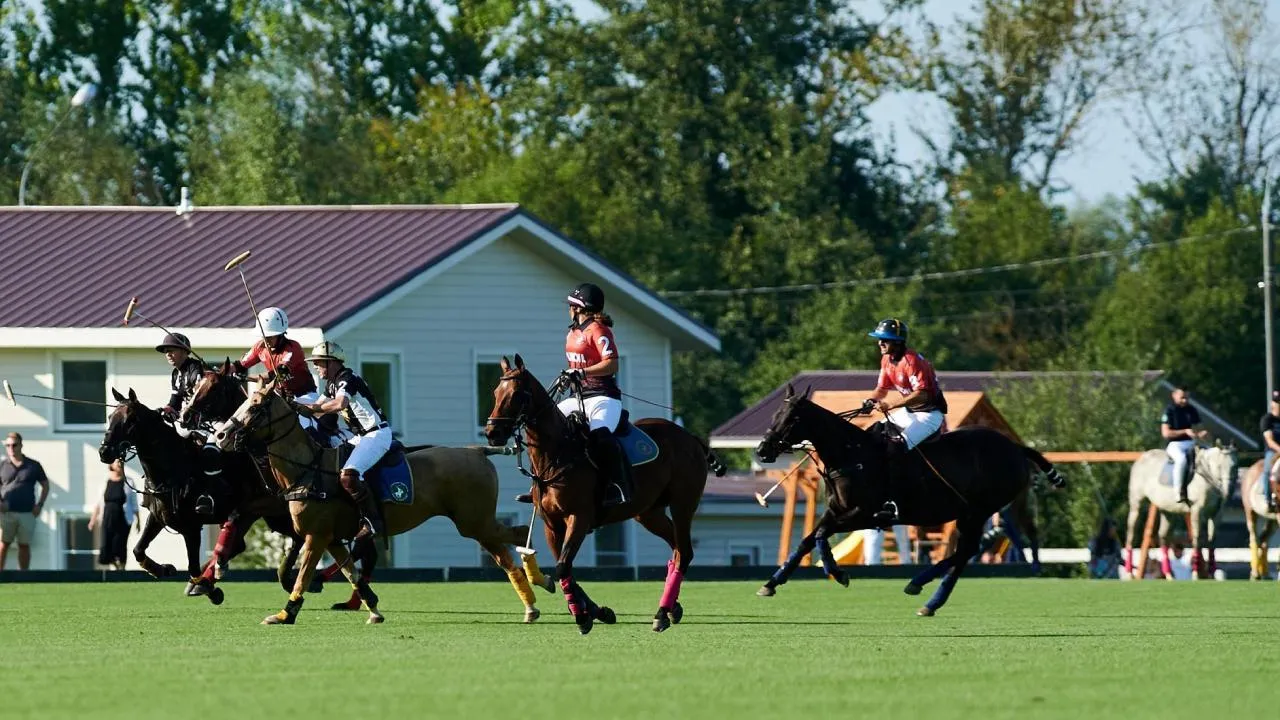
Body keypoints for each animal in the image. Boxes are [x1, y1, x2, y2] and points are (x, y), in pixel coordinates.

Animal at [97, 386, 302, 599]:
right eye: (110, 416)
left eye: (131, 420)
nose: (105, 452)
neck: (173, 470)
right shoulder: (158, 517)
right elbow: (138, 550)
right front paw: (163, 569)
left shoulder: (192, 527)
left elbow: (193, 567)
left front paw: (209, 589)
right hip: (266, 515)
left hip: (278, 512)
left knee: (298, 537)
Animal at [211, 376, 550, 622]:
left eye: (255, 406)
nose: (221, 436)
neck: (308, 469)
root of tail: (478, 451)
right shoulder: (331, 538)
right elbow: (352, 573)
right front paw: (373, 609)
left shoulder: (316, 535)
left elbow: (303, 576)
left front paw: (284, 614)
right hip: (476, 523)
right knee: (505, 554)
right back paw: (531, 605)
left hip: (474, 521)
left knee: (519, 534)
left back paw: (542, 581)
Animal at [481, 353, 727, 632]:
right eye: (495, 392)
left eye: (517, 394)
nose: (492, 433)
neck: (557, 454)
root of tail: (691, 438)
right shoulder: (551, 524)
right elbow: (565, 568)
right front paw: (598, 611)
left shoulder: (579, 517)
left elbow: (563, 566)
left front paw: (582, 616)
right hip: (648, 512)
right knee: (676, 548)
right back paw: (673, 608)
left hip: (683, 503)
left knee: (684, 551)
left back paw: (662, 613)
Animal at [752, 384, 1064, 614]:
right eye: (776, 414)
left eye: (792, 418)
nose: (762, 451)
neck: (850, 453)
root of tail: (1016, 447)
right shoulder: (837, 509)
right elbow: (808, 539)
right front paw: (771, 583)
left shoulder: (864, 514)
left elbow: (820, 535)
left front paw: (838, 573)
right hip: (968, 512)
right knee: (966, 550)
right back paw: (922, 589)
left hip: (979, 510)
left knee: (966, 551)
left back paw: (926, 594)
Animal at [1121, 440, 1239, 579]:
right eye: (1220, 466)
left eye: (1235, 466)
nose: (1228, 493)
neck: (1206, 477)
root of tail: (1141, 458)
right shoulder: (1197, 511)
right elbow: (1197, 539)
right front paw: (1195, 575)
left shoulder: (1216, 514)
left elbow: (1212, 541)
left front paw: (1211, 573)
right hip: (1136, 504)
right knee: (1131, 532)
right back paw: (1129, 573)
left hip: (1166, 510)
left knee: (1163, 537)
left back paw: (1168, 575)